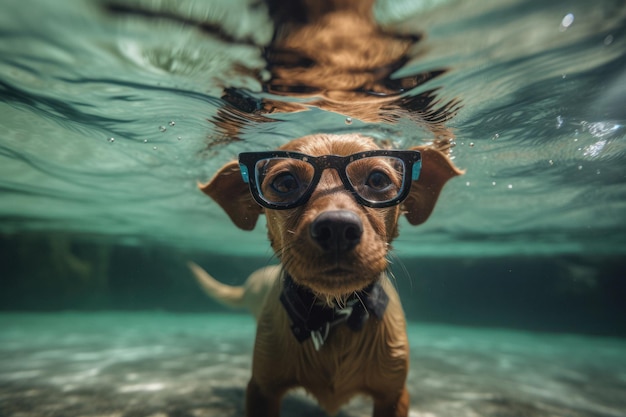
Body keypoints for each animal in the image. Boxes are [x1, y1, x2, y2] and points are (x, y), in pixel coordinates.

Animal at [188, 134, 460, 416]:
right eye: (285, 182)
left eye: (378, 180)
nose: (337, 228)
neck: (333, 314)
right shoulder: (262, 389)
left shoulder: (393, 396)